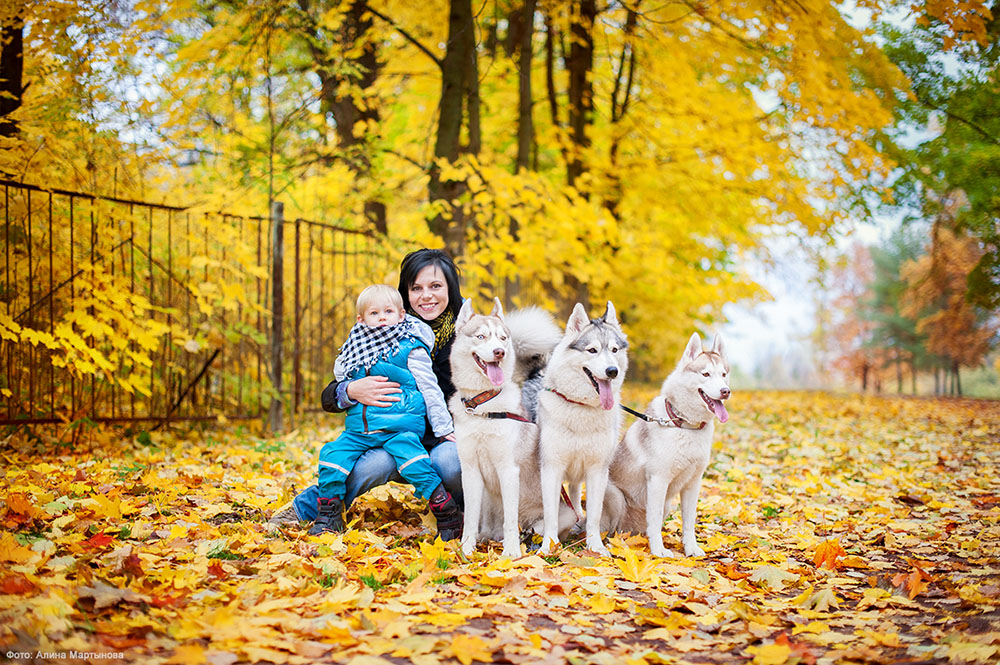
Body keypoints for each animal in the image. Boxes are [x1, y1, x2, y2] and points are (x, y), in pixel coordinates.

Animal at [452, 296, 576, 556]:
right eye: (481, 336)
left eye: (502, 338)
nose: (499, 352)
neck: (483, 406)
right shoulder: (470, 470)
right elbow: (470, 518)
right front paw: (466, 548)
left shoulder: (508, 469)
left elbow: (510, 519)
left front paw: (511, 553)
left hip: (565, 514)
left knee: (535, 527)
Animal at [536, 300, 628, 556]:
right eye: (592, 350)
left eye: (614, 350)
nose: (612, 371)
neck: (582, 408)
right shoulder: (551, 468)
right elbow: (551, 515)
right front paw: (549, 546)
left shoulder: (597, 470)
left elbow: (595, 515)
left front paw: (595, 546)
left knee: (577, 497)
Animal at [596, 332, 732, 556]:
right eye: (705, 374)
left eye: (723, 374)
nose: (725, 391)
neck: (685, 425)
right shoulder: (658, 480)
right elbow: (655, 518)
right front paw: (658, 550)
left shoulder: (693, 483)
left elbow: (688, 521)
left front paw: (691, 548)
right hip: (615, 497)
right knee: (610, 530)